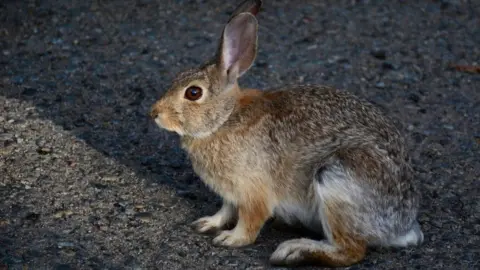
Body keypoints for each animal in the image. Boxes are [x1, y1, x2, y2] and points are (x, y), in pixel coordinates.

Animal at [150, 0, 424, 266]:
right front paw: (208, 223)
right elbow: (226, 210)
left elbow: (250, 221)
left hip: (337, 180)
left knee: (350, 251)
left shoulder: (253, 190)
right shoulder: (230, 193)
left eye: (193, 93)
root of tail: (401, 225)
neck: (225, 119)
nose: (155, 113)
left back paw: (295, 251)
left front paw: (230, 239)